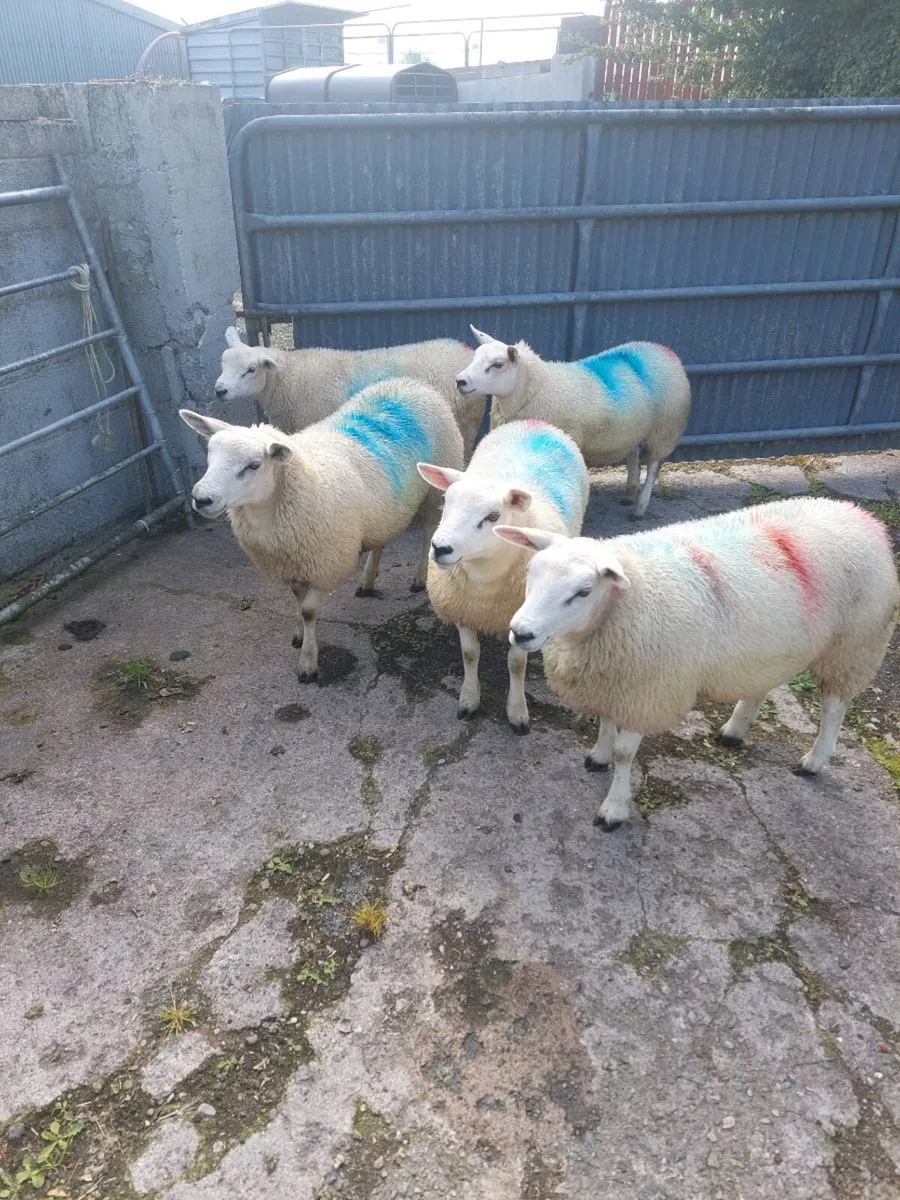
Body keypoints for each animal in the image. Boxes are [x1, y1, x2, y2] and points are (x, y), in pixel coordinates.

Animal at [180, 377, 464, 683]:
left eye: (253, 465)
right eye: (209, 456)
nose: (201, 498)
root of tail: (412, 384)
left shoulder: (324, 564)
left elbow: (308, 610)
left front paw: (308, 662)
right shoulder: (292, 562)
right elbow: (296, 599)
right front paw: (298, 635)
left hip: (435, 490)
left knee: (427, 532)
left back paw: (418, 577)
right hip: (381, 509)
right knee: (380, 540)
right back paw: (367, 580)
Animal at [214, 326, 486, 460]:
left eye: (250, 370)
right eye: (223, 363)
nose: (220, 390)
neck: (290, 377)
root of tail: (464, 349)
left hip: (465, 422)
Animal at [417, 419, 589, 733]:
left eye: (493, 516)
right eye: (446, 500)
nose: (440, 548)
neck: (484, 580)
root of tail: (535, 422)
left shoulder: (521, 619)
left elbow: (516, 665)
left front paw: (517, 712)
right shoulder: (463, 610)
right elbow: (470, 654)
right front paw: (469, 700)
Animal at [455, 326, 691, 517]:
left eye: (498, 364)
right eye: (475, 357)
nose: (460, 381)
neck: (539, 388)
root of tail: (664, 350)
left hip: (665, 429)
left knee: (653, 466)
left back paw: (640, 507)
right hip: (635, 428)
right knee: (634, 455)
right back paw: (629, 494)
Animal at [496, 496, 899, 830]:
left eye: (583, 591)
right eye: (531, 574)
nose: (521, 632)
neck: (621, 607)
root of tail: (861, 516)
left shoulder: (647, 688)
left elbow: (627, 754)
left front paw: (614, 808)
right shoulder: (613, 679)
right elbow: (606, 722)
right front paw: (599, 755)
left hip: (854, 643)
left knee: (834, 705)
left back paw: (814, 759)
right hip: (774, 643)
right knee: (761, 685)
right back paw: (735, 730)